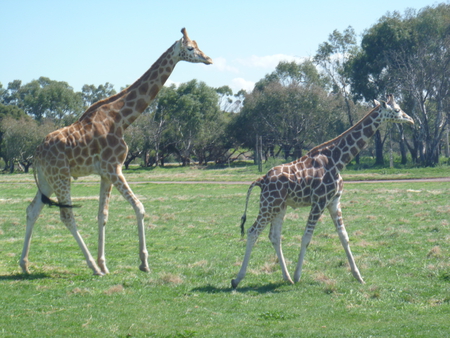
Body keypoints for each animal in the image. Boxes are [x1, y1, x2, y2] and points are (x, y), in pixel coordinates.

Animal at [21, 27, 214, 276]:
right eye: (190, 48)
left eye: (198, 44)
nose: (208, 59)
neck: (122, 119)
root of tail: (36, 154)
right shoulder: (115, 168)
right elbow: (139, 207)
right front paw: (143, 263)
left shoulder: (105, 173)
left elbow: (102, 215)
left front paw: (105, 262)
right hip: (61, 176)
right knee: (66, 215)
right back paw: (92, 266)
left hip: (47, 179)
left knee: (32, 210)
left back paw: (25, 264)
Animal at [234, 94, 414, 288]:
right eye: (397, 110)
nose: (410, 119)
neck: (338, 160)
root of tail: (261, 180)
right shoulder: (319, 201)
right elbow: (306, 237)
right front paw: (298, 276)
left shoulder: (334, 201)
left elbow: (344, 236)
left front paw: (358, 276)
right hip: (268, 204)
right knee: (253, 232)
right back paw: (238, 279)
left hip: (279, 206)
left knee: (274, 236)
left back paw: (286, 277)